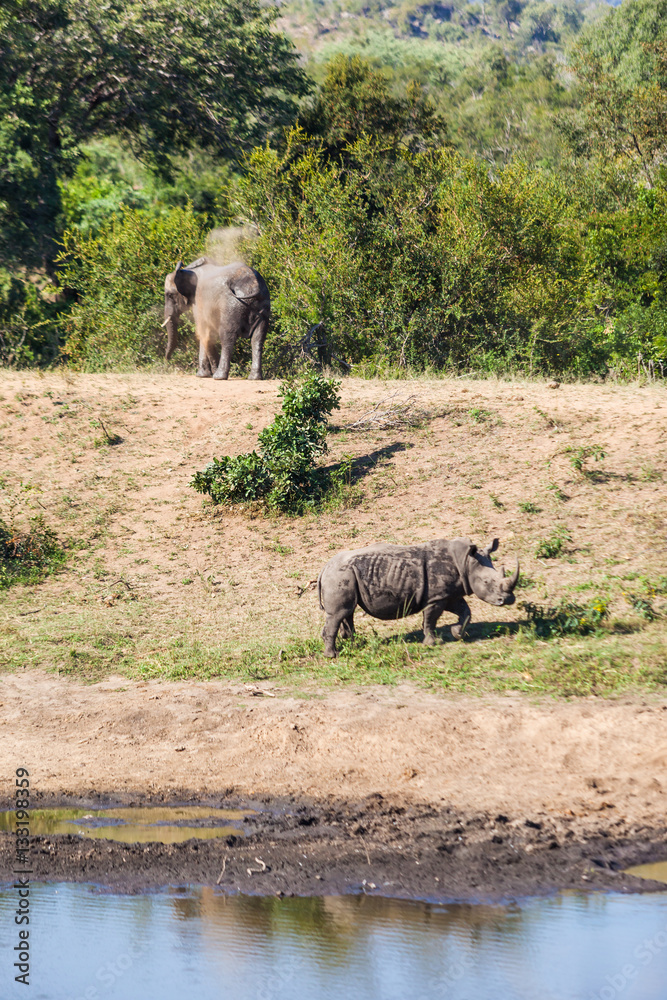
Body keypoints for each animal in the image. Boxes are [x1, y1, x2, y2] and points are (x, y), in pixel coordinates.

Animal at [317, 537, 519, 658]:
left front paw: (456, 633)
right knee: (338, 614)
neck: (466, 562)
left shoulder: (449, 594)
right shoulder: (436, 597)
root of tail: (324, 567)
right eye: (486, 582)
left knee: (347, 611)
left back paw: (355, 642)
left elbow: (466, 612)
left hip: (344, 576)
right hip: (339, 575)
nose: (508, 599)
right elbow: (430, 619)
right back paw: (332, 655)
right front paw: (433, 643)